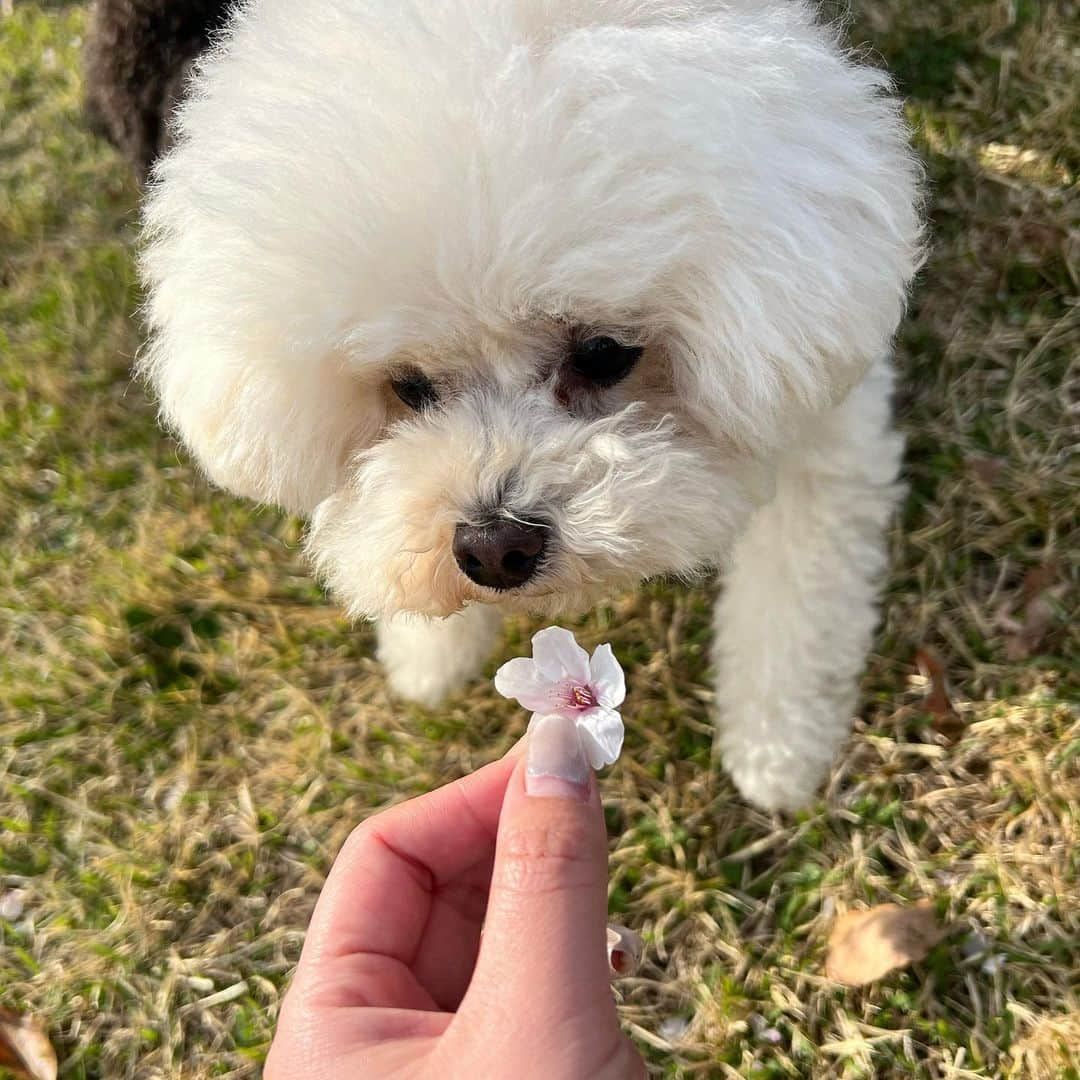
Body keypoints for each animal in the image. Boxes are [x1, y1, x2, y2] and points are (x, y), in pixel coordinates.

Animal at [139, 0, 924, 812]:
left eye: (604, 353)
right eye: (409, 385)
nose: (493, 549)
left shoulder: (819, 427)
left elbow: (799, 595)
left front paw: (778, 751)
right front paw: (428, 652)